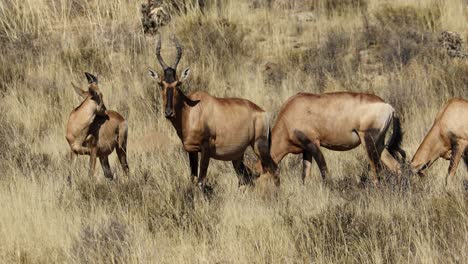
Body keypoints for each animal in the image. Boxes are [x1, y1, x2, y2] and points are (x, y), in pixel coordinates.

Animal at [148, 35, 276, 190]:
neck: (191, 110)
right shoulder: (192, 150)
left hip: (260, 146)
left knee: (273, 169)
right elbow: (193, 179)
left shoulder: (206, 149)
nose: (168, 113)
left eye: (177, 84)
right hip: (237, 156)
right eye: (161, 84)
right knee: (247, 178)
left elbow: (201, 182)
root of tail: (263, 113)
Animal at [270, 93, 406, 186]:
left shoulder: (314, 144)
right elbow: (305, 175)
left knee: (376, 171)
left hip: (368, 141)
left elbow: (324, 172)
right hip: (379, 144)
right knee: (396, 166)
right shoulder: (306, 150)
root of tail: (389, 107)